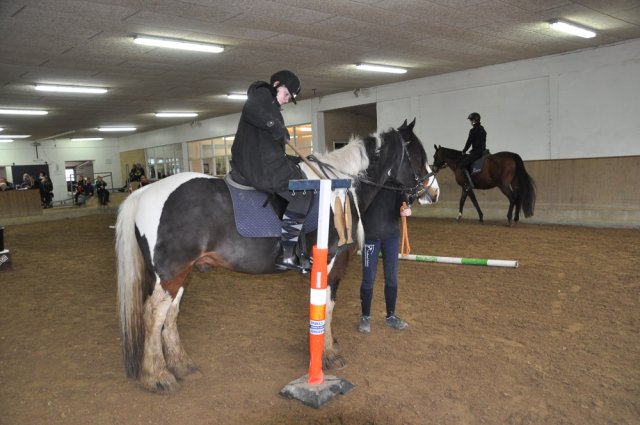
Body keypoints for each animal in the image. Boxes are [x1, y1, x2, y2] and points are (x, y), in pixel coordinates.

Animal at [116, 119, 439, 393]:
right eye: (417, 154)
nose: (433, 192)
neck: (338, 187)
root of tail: (142, 194)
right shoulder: (331, 263)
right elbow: (327, 308)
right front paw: (329, 355)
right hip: (171, 272)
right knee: (154, 315)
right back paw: (157, 376)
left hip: (183, 273)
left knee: (170, 315)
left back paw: (181, 365)